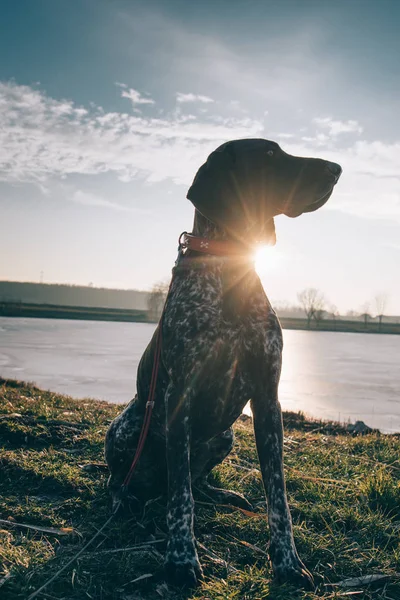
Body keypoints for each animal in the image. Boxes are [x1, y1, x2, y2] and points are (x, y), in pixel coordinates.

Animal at [104, 138, 342, 588]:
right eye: (269, 155)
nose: (336, 168)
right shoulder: (178, 396)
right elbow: (181, 497)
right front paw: (181, 561)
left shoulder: (268, 399)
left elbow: (278, 498)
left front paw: (288, 563)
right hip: (127, 426)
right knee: (139, 483)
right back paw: (126, 502)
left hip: (226, 435)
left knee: (195, 484)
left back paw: (222, 495)